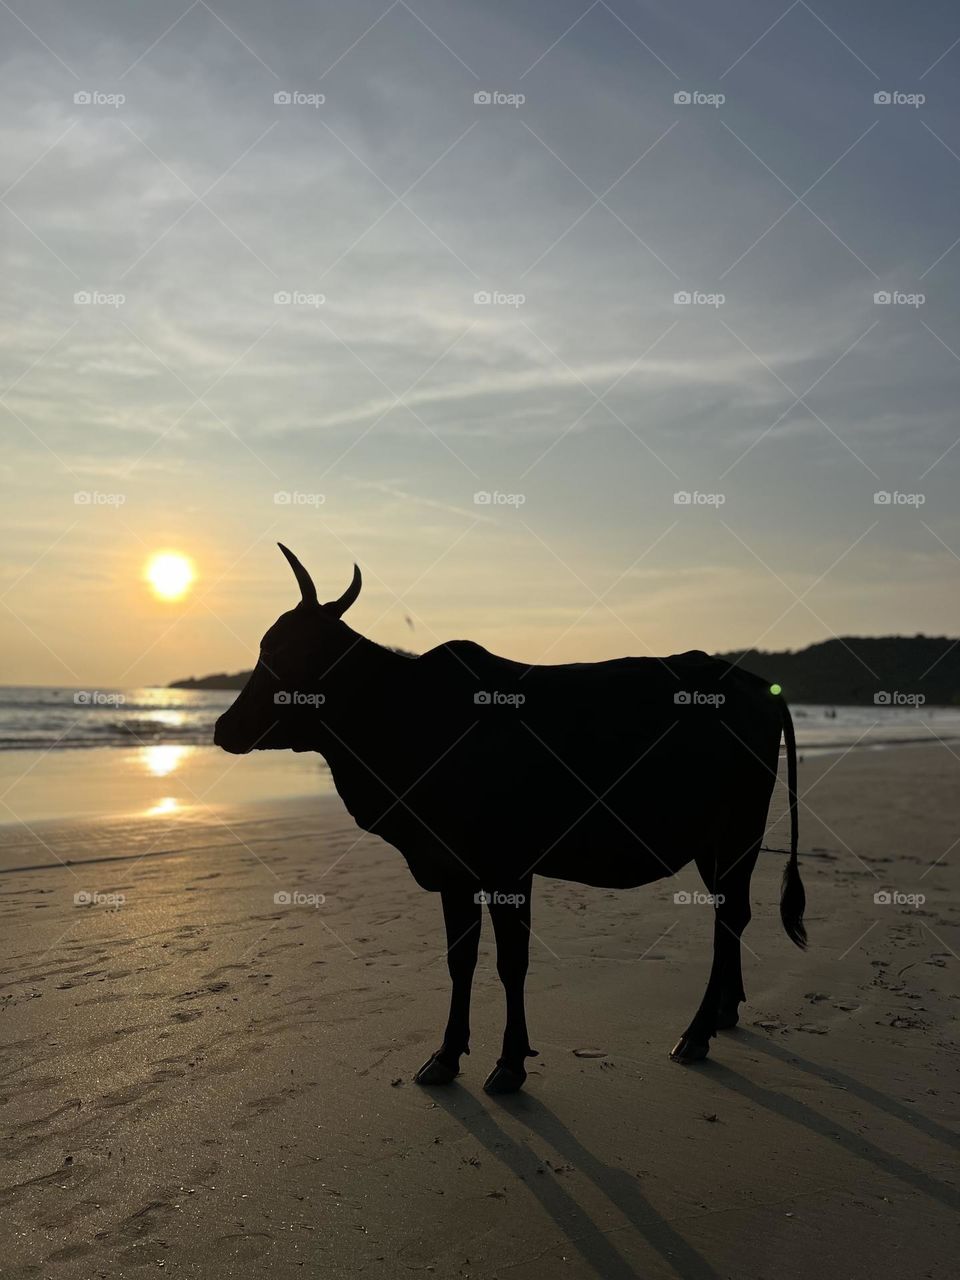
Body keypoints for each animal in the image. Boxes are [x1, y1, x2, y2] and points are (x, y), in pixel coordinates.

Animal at [216, 545, 803, 1095]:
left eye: (282, 652)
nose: (223, 728)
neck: (403, 715)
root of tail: (755, 684)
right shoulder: (453, 871)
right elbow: (461, 960)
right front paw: (446, 1056)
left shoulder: (508, 870)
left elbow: (510, 962)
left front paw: (510, 1063)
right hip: (715, 844)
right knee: (732, 916)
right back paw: (723, 1012)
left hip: (740, 831)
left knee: (730, 917)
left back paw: (697, 1032)